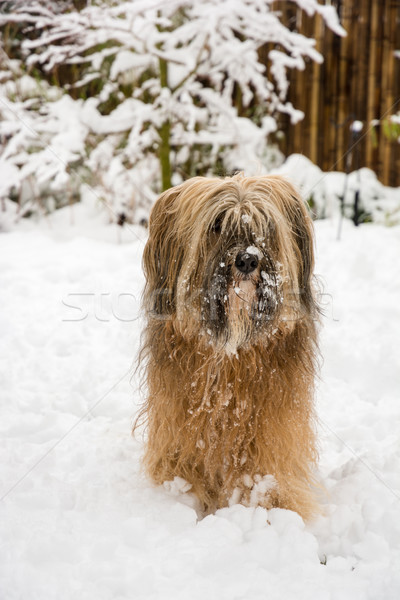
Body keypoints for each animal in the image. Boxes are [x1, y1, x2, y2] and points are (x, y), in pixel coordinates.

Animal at [136, 173, 320, 520]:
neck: (231, 347)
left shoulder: (272, 428)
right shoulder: (179, 419)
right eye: (217, 224)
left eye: (266, 225)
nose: (247, 259)